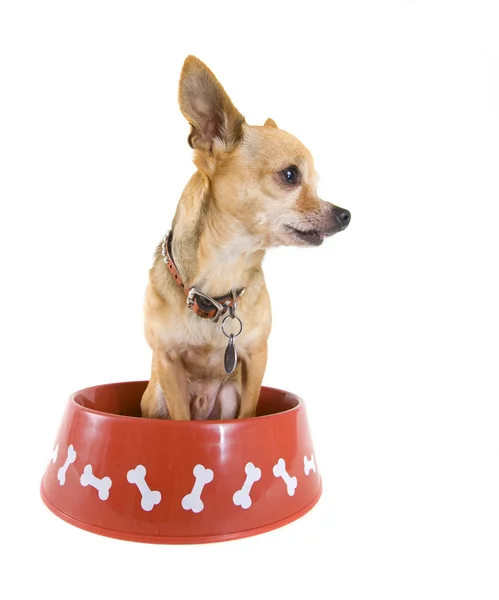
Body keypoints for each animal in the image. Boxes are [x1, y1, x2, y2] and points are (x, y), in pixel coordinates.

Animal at [141, 56, 352, 422]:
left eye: (316, 183)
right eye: (290, 175)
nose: (344, 214)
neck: (223, 272)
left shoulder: (255, 356)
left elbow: (249, 412)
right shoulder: (166, 361)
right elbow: (181, 419)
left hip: (227, 394)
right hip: (155, 396)